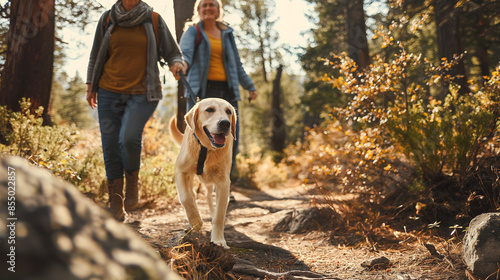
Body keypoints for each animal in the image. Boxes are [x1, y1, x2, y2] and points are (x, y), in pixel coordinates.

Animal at [170, 97, 236, 248]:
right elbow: (186, 198)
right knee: (193, 195)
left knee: (210, 199)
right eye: (210, 110)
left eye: (228, 111)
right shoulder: (181, 171)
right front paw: (196, 222)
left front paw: (218, 240)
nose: (225, 123)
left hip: (210, 182)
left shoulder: (223, 182)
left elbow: (219, 215)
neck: (206, 149)